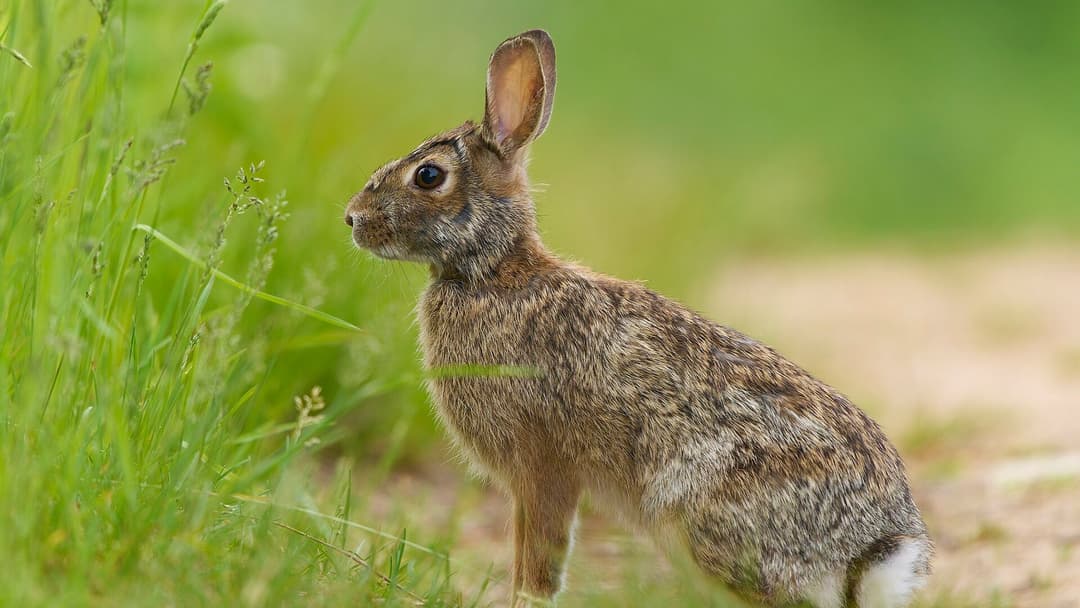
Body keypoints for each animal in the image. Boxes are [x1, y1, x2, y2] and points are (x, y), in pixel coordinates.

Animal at [344, 29, 932, 608]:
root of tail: (873, 551)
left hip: (704, 522)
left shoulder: (542, 469)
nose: (352, 219)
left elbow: (539, 564)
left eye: (428, 176)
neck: (493, 272)